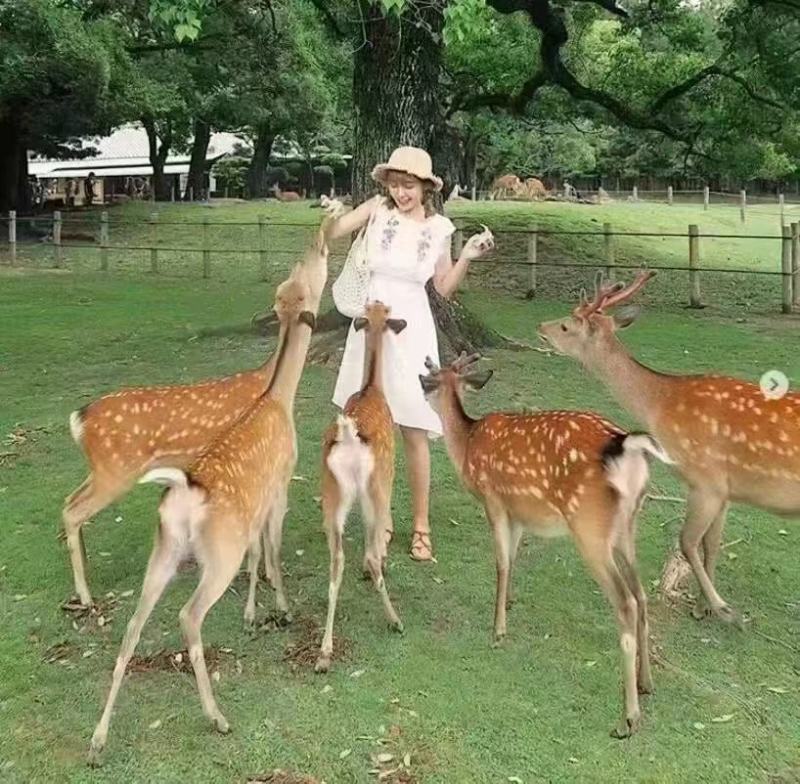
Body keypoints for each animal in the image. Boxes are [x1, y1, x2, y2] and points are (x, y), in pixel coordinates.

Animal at [87, 224, 328, 766]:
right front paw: (280, 608)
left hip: (163, 552)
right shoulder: (281, 485)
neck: (278, 400)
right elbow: (272, 549)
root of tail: (182, 495)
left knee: (132, 625)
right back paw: (217, 716)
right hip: (217, 553)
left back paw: (97, 740)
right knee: (187, 615)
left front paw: (256, 612)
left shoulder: (256, 509)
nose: (316, 244)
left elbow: (260, 553)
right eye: (313, 277)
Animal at [419, 353, 673, 737]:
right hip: (627, 527)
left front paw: (498, 631)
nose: (420, 387)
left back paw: (629, 717)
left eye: (432, 378)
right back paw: (647, 682)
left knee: (626, 601)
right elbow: (512, 559)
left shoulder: (493, 500)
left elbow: (501, 562)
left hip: (590, 528)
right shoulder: (519, 514)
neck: (467, 446)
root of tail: (628, 448)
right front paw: (508, 603)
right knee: (641, 594)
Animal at [538, 270, 800, 626]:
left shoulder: (706, 479)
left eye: (567, 325)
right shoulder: (724, 488)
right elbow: (711, 542)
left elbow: (687, 542)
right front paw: (703, 607)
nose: (541, 326)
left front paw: (723, 608)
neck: (661, 407)